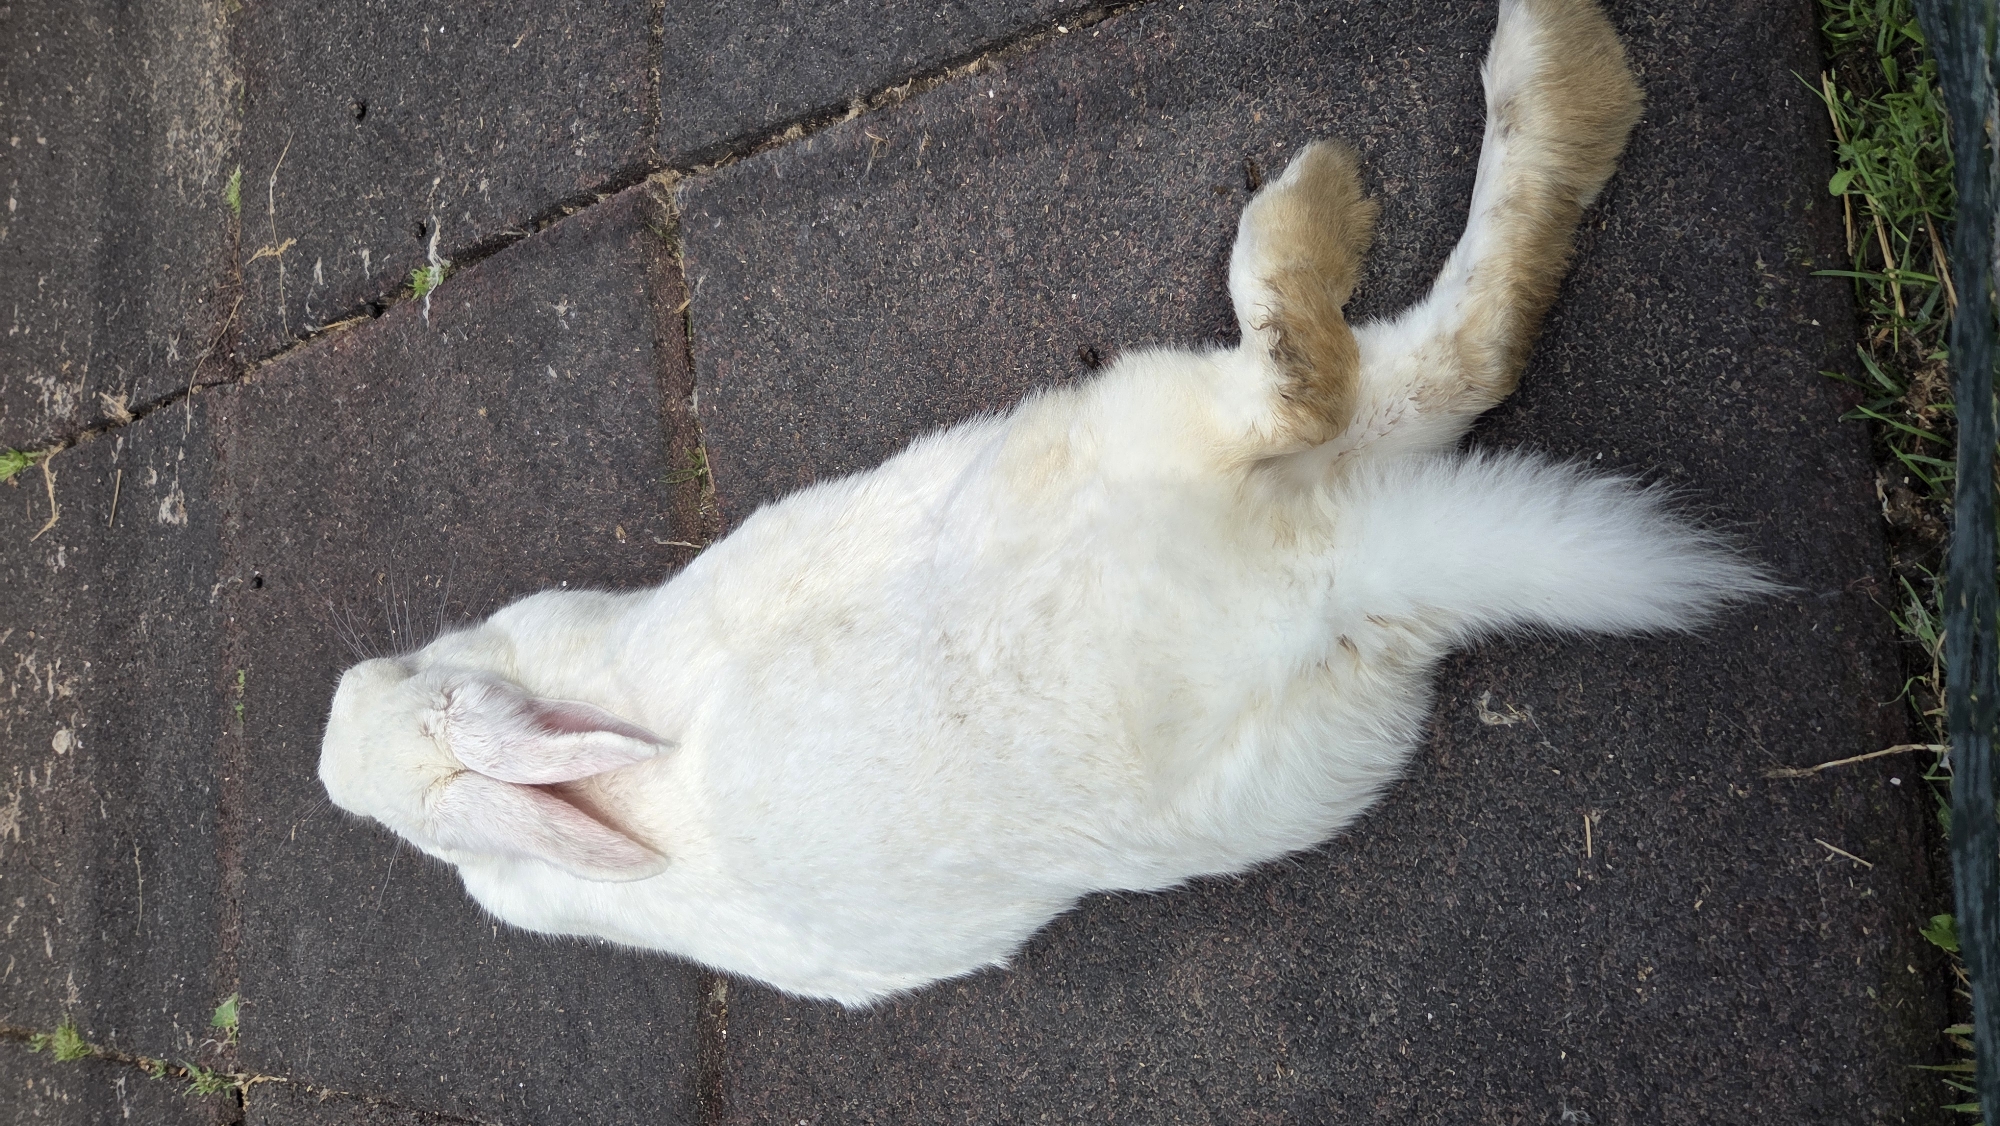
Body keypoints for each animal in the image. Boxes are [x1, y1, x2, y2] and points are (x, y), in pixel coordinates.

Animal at [320, 0, 1768, 1007]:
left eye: (418, 671)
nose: (337, 715)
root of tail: (1323, 576)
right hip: (1160, 455)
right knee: (1387, 370)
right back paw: (1441, 138)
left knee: (1401, 360)